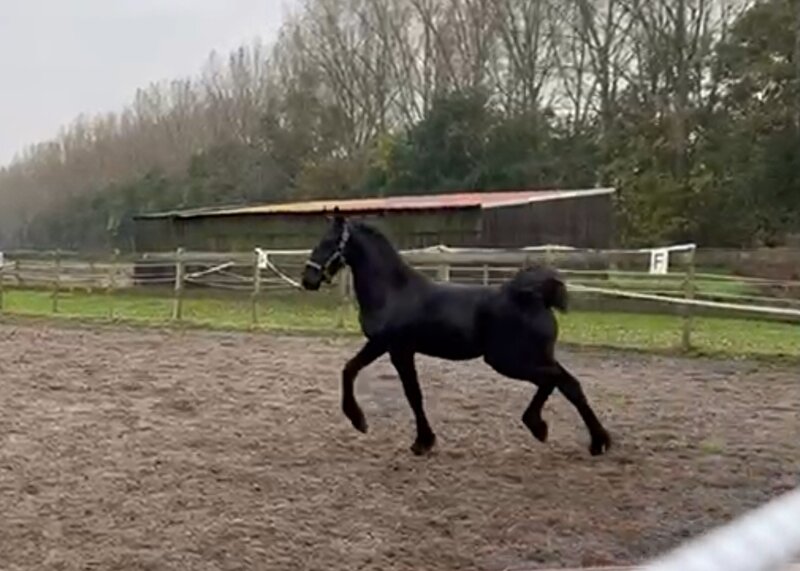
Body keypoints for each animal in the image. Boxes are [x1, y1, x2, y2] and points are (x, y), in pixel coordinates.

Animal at [301, 209, 612, 457]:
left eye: (328, 242)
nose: (308, 279)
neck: (393, 292)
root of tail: (536, 297)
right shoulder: (384, 345)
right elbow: (351, 370)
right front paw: (365, 423)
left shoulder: (396, 348)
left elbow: (411, 393)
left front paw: (418, 441)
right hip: (534, 356)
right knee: (568, 384)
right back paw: (592, 440)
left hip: (509, 360)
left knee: (557, 381)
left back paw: (547, 427)